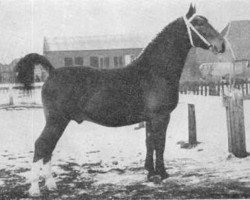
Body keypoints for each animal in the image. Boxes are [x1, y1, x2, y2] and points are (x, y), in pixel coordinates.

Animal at [16, 4, 226, 195]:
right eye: (199, 23)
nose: (222, 44)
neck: (154, 71)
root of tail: (52, 72)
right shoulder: (161, 117)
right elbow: (160, 144)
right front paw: (162, 174)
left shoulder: (149, 119)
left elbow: (150, 143)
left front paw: (151, 173)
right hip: (56, 120)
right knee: (41, 146)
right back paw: (35, 189)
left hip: (58, 121)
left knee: (48, 148)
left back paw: (51, 185)